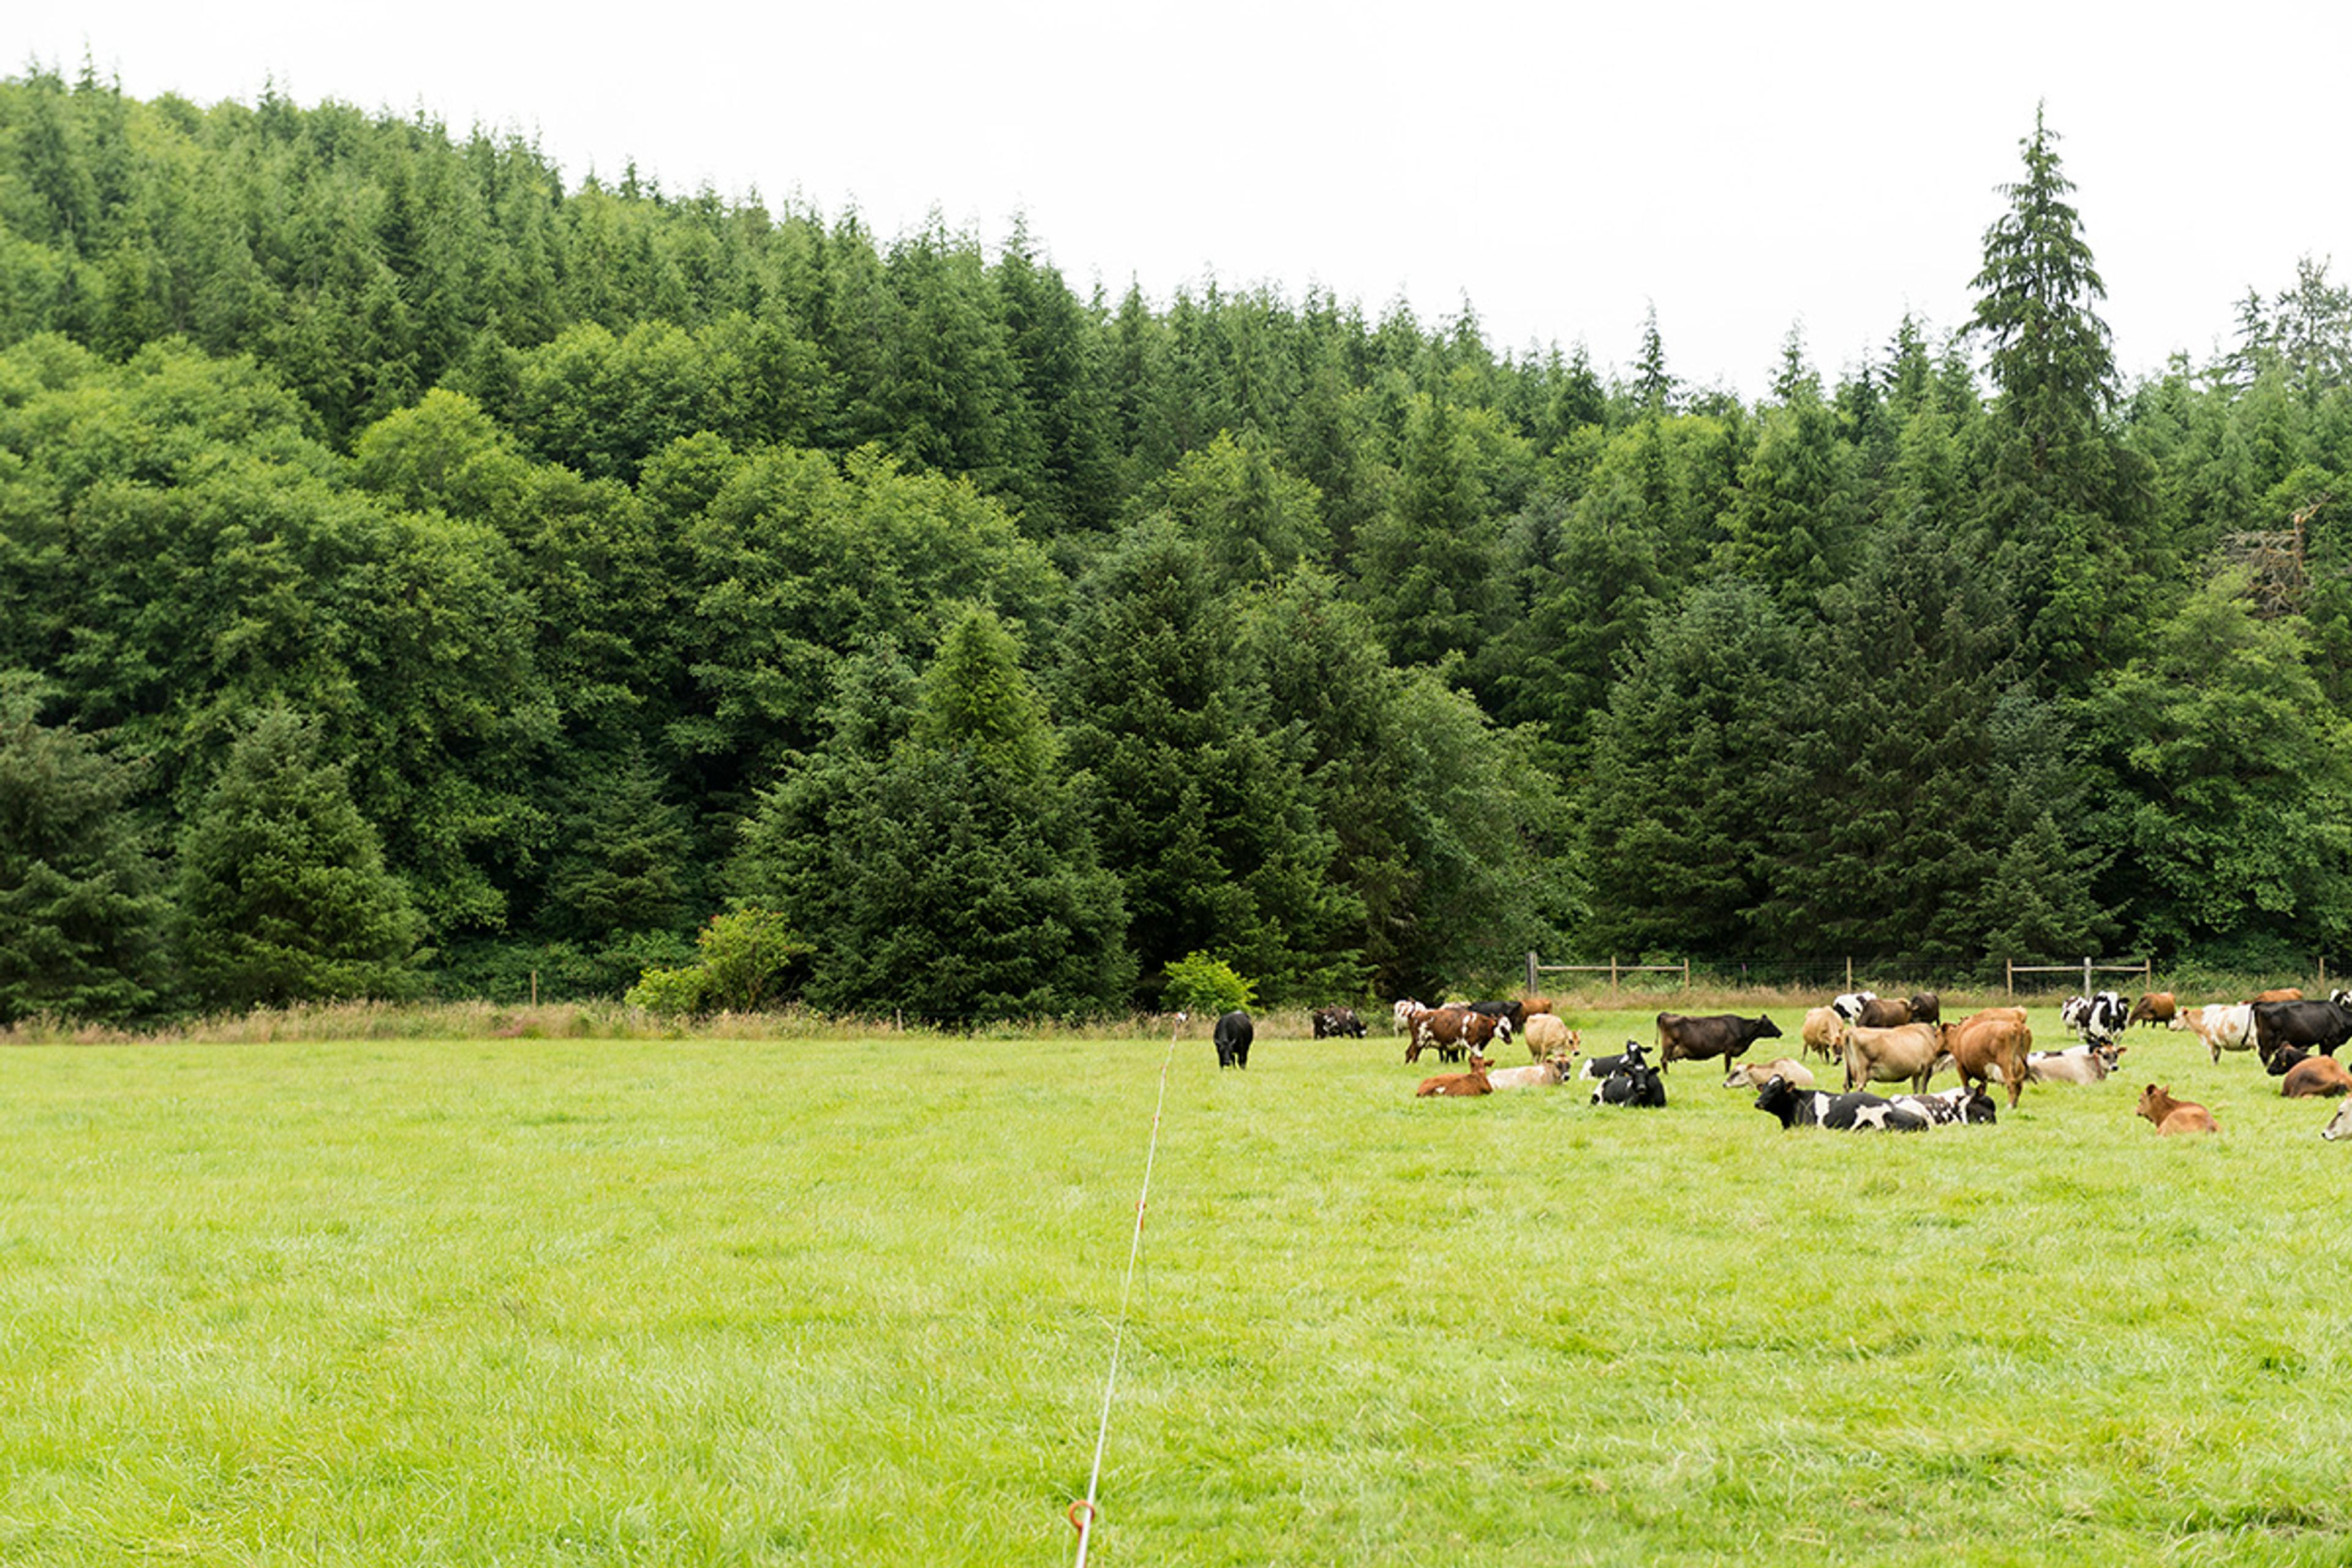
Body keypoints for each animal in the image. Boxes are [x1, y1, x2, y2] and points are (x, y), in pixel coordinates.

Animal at [1655, 1012, 1783, 1071]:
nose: (1780, 1032)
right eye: (1769, 1024)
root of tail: (1666, 1014)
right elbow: (1727, 1064)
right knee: (1664, 1060)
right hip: (1668, 1046)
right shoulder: (1729, 1049)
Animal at [1843, 1021, 1944, 1093]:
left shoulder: (1916, 1071)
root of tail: (1852, 1030)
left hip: (1848, 1069)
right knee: (1859, 1087)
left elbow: (1915, 1089)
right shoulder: (1927, 1067)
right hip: (1862, 1071)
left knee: (1846, 1086)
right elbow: (1923, 1089)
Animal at [1937, 1009, 2032, 1109]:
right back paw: (2015, 1105)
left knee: (2011, 1082)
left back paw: (2010, 1106)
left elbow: (1966, 1086)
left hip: (2005, 1064)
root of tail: (2017, 1025)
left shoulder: (1960, 1066)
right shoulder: (1983, 1072)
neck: (1958, 1035)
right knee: (2019, 1084)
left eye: (1936, 1035)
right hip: (2020, 1062)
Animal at [2170, 1004, 2256, 1063]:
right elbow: (2217, 1057)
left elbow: (2213, 1057)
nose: (2170, 1026)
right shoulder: (2217, 1044)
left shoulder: (2210, 1042)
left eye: (2176, 1017)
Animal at [2252, 998, 2352, 1067]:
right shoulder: (2330, 1040)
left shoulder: (2322, 1042)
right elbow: (2327, 1055)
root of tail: (2262, 1003)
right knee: (2265, 1054)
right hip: (2269, 1038)